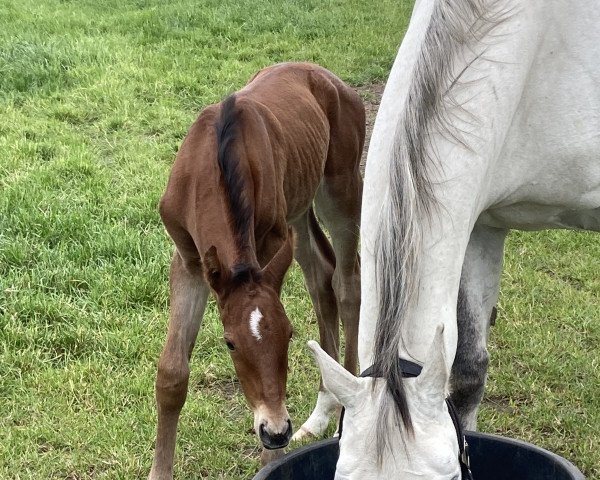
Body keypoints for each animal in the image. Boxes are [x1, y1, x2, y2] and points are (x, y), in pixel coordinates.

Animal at [150, 63, 366, 480]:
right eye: (230, 343)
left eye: (289, 334)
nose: (277, 432)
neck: (215, 163)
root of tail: (330, 78)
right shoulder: (188, 259)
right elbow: (172, 373)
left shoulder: (267, 245)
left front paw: (271, 459)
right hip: (299, 210)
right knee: (320, 276)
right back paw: (319, 416)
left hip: (341, 189)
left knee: (347, 284)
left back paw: (344, 416)